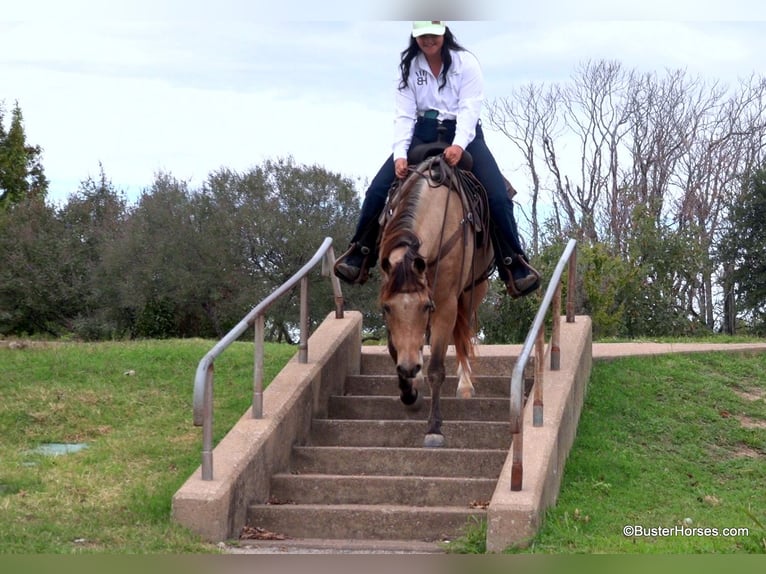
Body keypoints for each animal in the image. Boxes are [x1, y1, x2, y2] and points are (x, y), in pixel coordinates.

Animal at [380, 152, 498, 450]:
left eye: (426, 306)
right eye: (387, 308)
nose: (409, 367)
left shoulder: (444, 305)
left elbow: (437, 368)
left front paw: (434, 428)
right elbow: (394, 349)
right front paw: (409, 393)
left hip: (472, 291)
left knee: (463, 337)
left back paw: (464, 384)